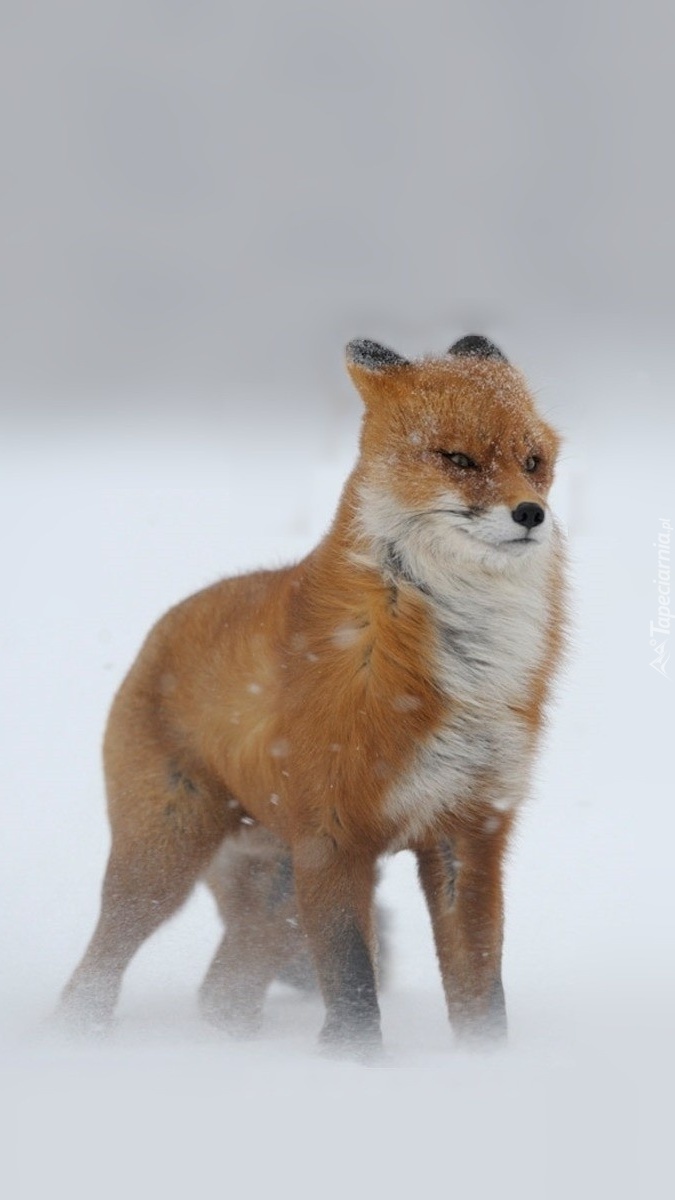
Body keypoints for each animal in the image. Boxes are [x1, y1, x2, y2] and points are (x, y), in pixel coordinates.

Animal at [57, 336, 564, 1051]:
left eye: (533, 462)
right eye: (459, 459)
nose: (531, 514)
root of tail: (161, 629)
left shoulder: (468, 831)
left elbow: (481, 992)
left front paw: (484, 1067)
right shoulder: (333, 835)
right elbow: (352, 987)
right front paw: (354, 1068)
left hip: (275, 886)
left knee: (223, 992)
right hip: (164, 862)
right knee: (94, 975)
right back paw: (78, 1039)